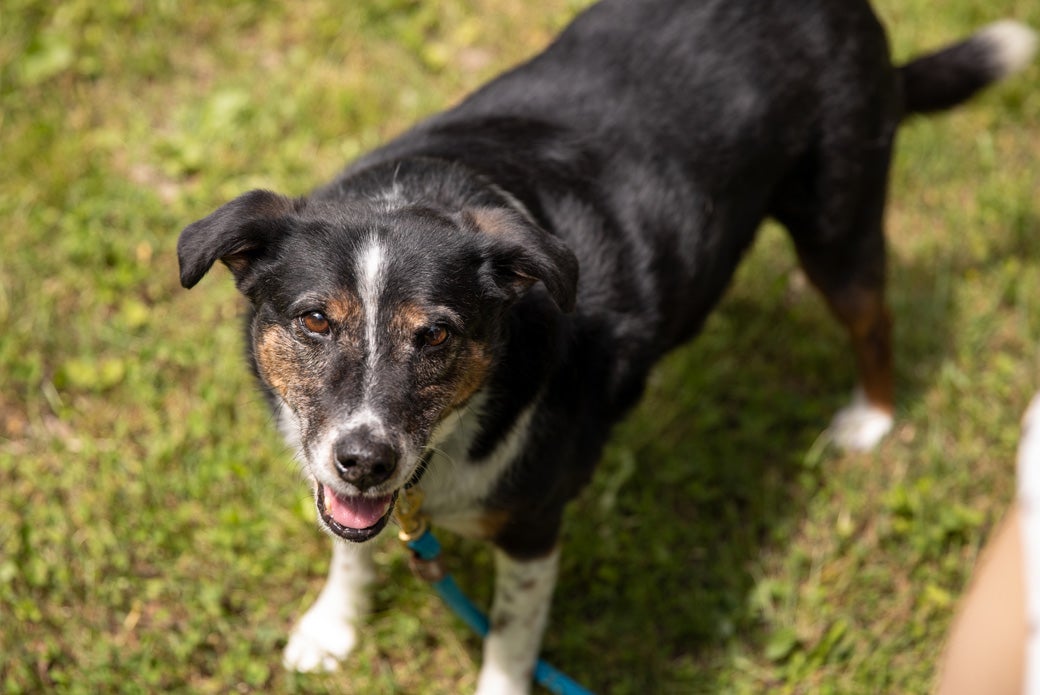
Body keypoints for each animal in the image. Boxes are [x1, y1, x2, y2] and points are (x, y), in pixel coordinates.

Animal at [177, 1, 1036, 691]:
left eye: (437, 334)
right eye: (315, 322)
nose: (366, 459)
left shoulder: (534, 526)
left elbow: (511, 637)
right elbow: (350, 544)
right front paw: (334, 626)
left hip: (839, 216)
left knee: (873, 317)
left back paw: (872, 416)